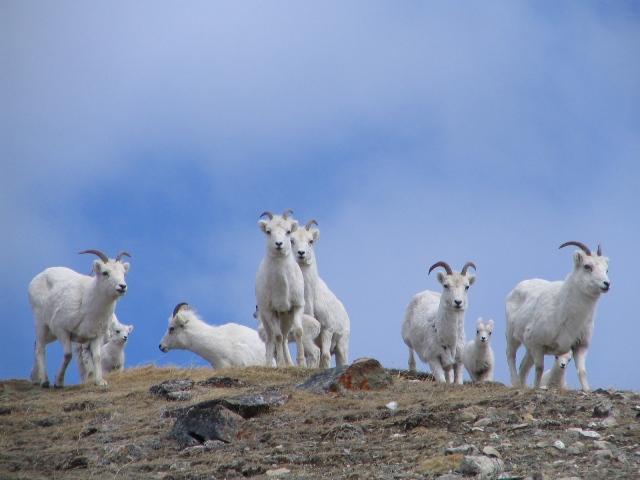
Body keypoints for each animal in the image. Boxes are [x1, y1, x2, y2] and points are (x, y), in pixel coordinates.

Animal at [28, 250, 131, 387]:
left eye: (123, 273)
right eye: (105, 272)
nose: (122, 286)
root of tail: (37, 277)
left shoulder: (97, 336)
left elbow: (97, 357)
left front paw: (100, 382)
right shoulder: (62, 331)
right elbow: (68, 355)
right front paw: (58, 382)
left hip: (50, 334)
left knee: (37, 345)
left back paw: (35, 379)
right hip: (41, 324)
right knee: (40, 348)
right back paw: (44, 381)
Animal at [255, 210, 306, 367]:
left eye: (288, 231)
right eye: (268, 231)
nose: (279, 244)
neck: (282, 287)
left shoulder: (297, 307)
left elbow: (299, 332)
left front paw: (301, 364)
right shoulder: (271, 311)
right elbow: (277, 337)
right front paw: (281, 365)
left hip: (286, 318)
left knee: (285, 338)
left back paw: (290, 364)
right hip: (266, 319)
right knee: (272, 338)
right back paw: (270, 364)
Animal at [290, 219, 350, 368]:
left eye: (310, 241)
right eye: (292, 240)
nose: (301, 253)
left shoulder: (327, 329)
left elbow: (326, 357)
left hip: (342, 346)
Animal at [505, 241, 610, 391]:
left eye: (606, 269)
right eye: (587, 266)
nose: (606, 284)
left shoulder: (580, 347)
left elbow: (582, 372)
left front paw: (587, 390)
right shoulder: (537, 345)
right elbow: (539, 369)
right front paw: (537, 388)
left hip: (529, 350)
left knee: (524, 367)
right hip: (512, 337)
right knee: (511, 356)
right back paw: (515, 382)